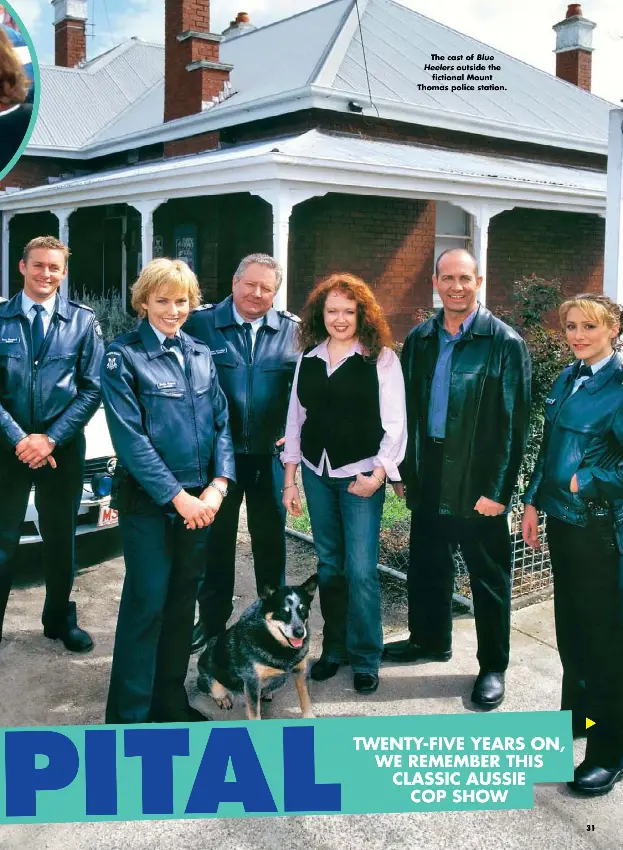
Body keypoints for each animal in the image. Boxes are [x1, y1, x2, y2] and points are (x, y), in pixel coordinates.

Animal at [197, 572, 320, 720]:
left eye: (303, 610)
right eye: (282, 612)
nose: (300, 633)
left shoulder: (301, 671)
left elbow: (305, 698)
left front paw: (309, 716)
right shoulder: (252, 681)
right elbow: (254, 713)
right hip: (215, 685)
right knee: (212, 690)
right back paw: (223, 700)